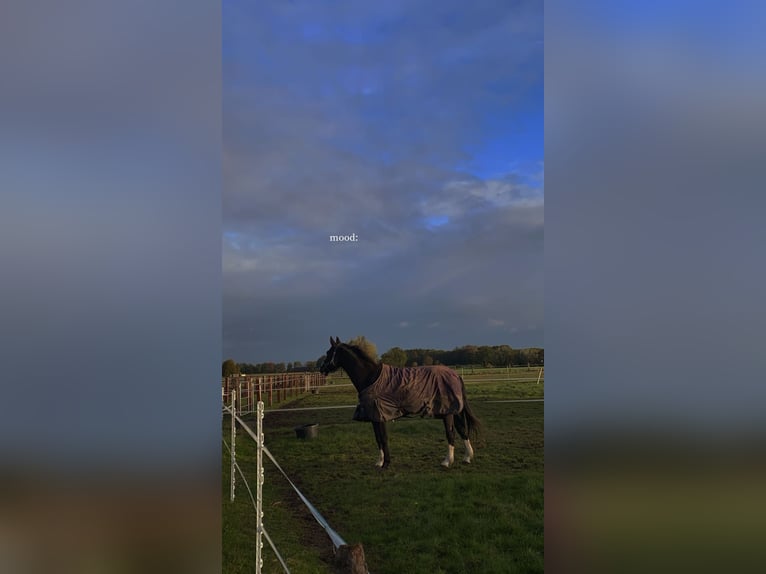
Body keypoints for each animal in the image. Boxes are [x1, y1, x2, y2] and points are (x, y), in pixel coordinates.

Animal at [320, 338, 484, 468]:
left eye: (328, 352)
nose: (321, 368)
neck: (371, 377)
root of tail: (455, 374)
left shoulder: (380, 415)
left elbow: (383, 438)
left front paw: (386, 463)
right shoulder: (374, 417)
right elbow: (378, 439)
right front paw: (379, 462)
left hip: (447, 412)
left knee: (451, 433)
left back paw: (447, 461)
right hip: (453, 411)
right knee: (462, 430)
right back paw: (467, 458)